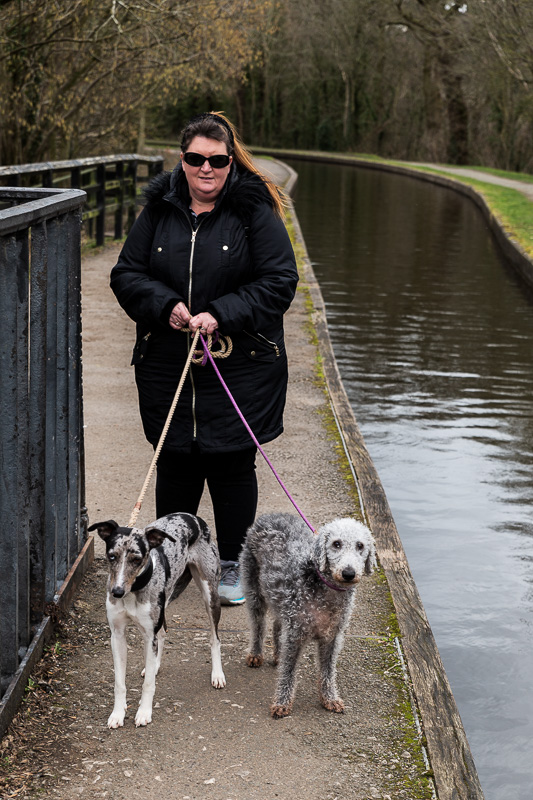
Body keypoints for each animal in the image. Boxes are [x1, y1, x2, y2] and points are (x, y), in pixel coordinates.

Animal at [88, 516, 225, 728]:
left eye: (137, 559)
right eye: (111, 556)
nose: (117, 592)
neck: (133, 591)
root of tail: (192, 517)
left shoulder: (148, 633)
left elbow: (148, 685)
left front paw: (144, 712)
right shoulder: (117, 636)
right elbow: (119, 682)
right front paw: (118, 714)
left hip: (210, 595)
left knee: (215, 638)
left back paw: (217, 674)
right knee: (162, 634)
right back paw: (155, 666)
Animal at [239, 516, 376, 720]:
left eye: (360, 545)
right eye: (336, 544)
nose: (348, 573)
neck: (327, 592)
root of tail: (270, 516)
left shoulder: (331, 638)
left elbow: (328, 671)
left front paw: (330, 698)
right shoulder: (295, 635)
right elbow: (288, 672)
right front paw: (282, 703)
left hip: (281, 601)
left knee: (277, 626)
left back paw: (277, 654)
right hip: (255, 592)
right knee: (258, 626)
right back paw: (256, 654)